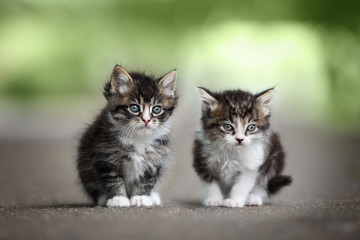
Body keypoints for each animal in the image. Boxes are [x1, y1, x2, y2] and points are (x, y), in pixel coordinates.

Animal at [76, 65, 178, 206]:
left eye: (156, 109)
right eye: (134, 108)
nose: (146, 120)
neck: (138, 137)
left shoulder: (155, 159)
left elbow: (146, 180)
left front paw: (141, 198)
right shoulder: (105, 156)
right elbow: (112, 179)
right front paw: (118, 199)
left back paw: (152, 196)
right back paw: (103, 198)